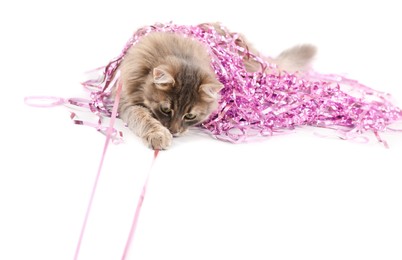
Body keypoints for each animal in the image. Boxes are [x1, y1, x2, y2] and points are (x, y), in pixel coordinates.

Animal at [114, 24, 316, 150]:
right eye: (166, 110)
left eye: (190, 116)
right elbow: (144, 118)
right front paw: (159, 134)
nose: (174, 131)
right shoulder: (128, 101)